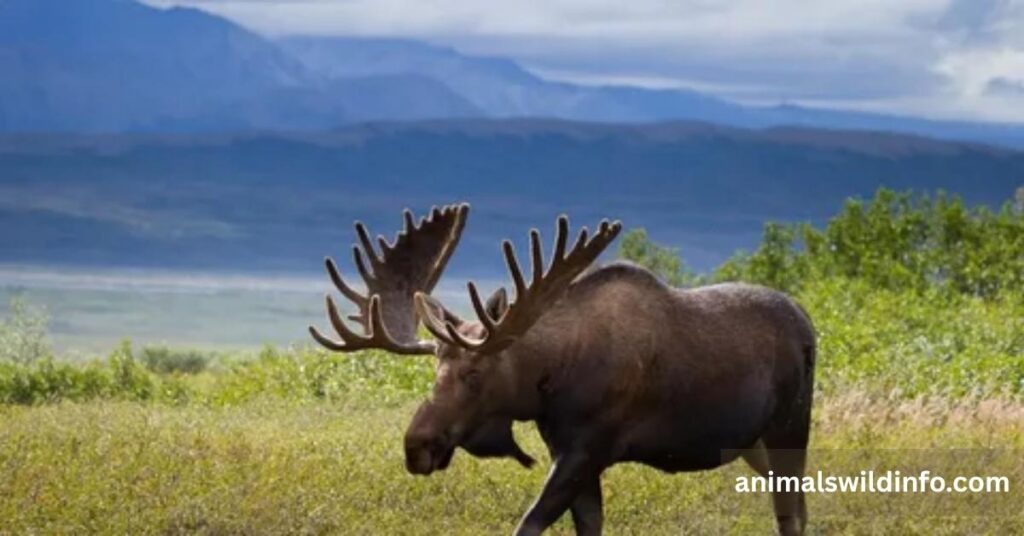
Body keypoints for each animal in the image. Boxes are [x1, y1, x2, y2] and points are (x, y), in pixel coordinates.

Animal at [310, 203, 817, 536]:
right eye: (434, 370)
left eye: (474, 375)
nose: (416, 445)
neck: (547, 382)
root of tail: (808, 323)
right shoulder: (568, 451)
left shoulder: (587, 449)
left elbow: (528, 525)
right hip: (752, 444)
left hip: (790, 427)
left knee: (791, 510)